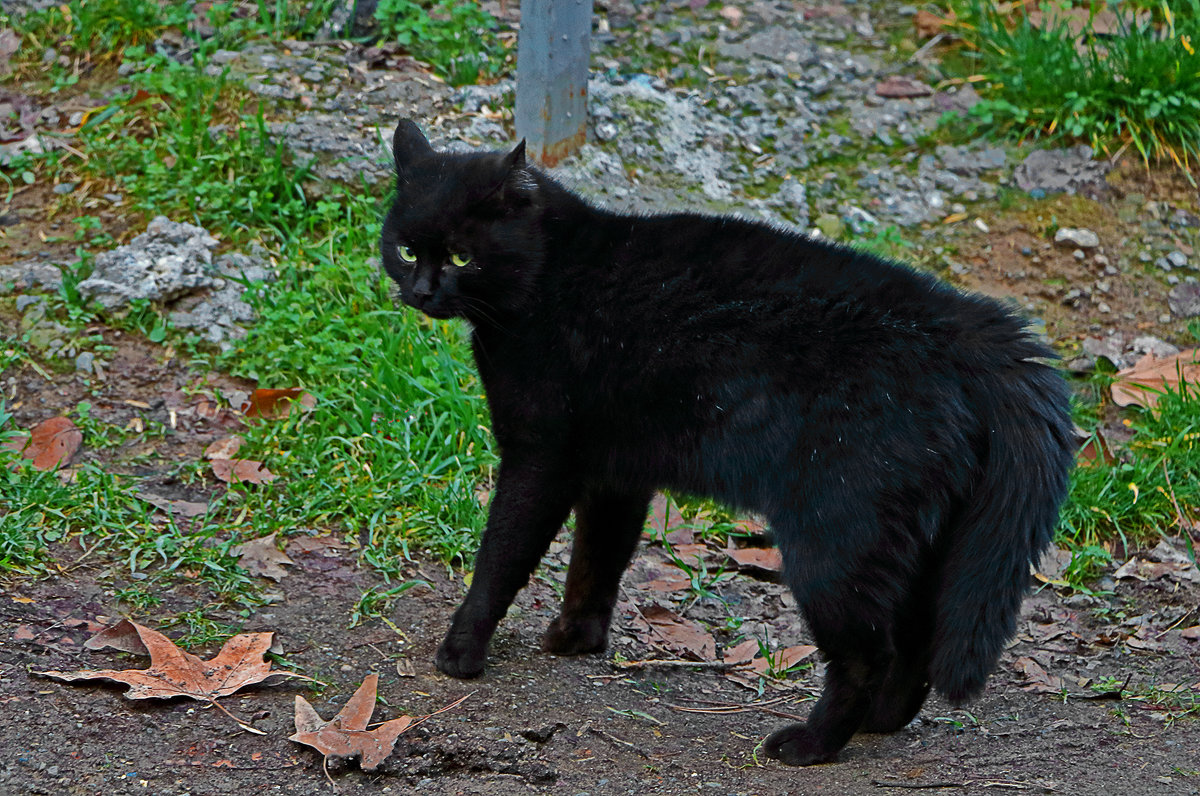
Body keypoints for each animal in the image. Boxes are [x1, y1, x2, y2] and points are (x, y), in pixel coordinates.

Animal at [379, 120, 1075, 768]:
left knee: (867, 654)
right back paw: (881, 721)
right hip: (915, 538)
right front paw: (577, 637)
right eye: (407, 249)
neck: (550, 276)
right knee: (913, 638)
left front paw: (461, 651)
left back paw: (811, 744)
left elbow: (501, 557)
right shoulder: (616, 474)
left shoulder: (540, 457)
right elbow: (597, 559)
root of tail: (967, 330)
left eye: (462, 258)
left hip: (834, 538)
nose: (422, 290)